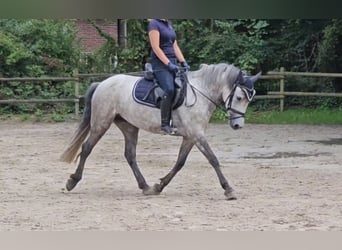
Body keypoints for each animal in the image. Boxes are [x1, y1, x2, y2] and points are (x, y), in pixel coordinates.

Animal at [60, 63, 260, 200]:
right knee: (86, 148)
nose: (237, 125)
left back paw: (146, 186)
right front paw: (228, 189)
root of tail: (103, 83)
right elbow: (213, 159)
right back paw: (72, 181)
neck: (200, 93)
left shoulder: (190, 137)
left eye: (249, 99)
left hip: (129, 126)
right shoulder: (197, 135)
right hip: (101, 123)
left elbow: (180, 163)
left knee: (130, 155)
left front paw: (159, 186)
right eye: (239, 97)